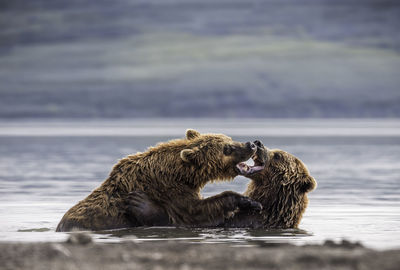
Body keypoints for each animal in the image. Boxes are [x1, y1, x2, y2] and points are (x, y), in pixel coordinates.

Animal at [56, 130, 262, 231]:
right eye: (226, 148)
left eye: (229, 138)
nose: (250, 144)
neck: (181, 173)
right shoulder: (169, 190)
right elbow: (195, 212)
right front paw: (248, 201)